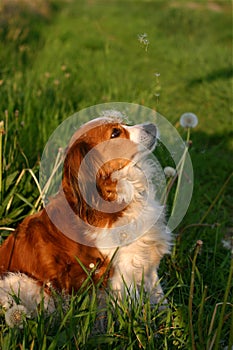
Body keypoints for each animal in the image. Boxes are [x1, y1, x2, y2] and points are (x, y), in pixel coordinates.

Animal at [0, 115, 171, 314]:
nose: (152, 125)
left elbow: (161, 298)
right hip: (22, 282)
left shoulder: (147, 264)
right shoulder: (120, 270)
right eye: (115, 133)